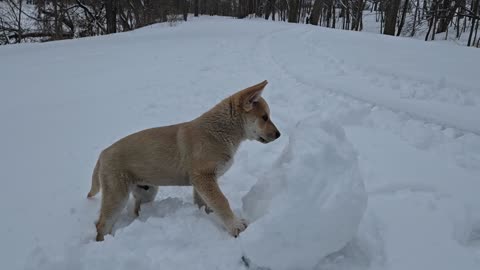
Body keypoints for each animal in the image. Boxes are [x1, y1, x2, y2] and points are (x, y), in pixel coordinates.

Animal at [88, 80, 280, 240]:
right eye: (265, 117)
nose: (279, 134)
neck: (218, 132)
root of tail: (102, 154)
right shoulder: (204, 178)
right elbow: (221, 201)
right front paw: (236, 226)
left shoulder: (201, 183)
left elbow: (206, 204)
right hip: (116, 195)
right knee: (101, 224)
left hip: (147, 191)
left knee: (135, 210)